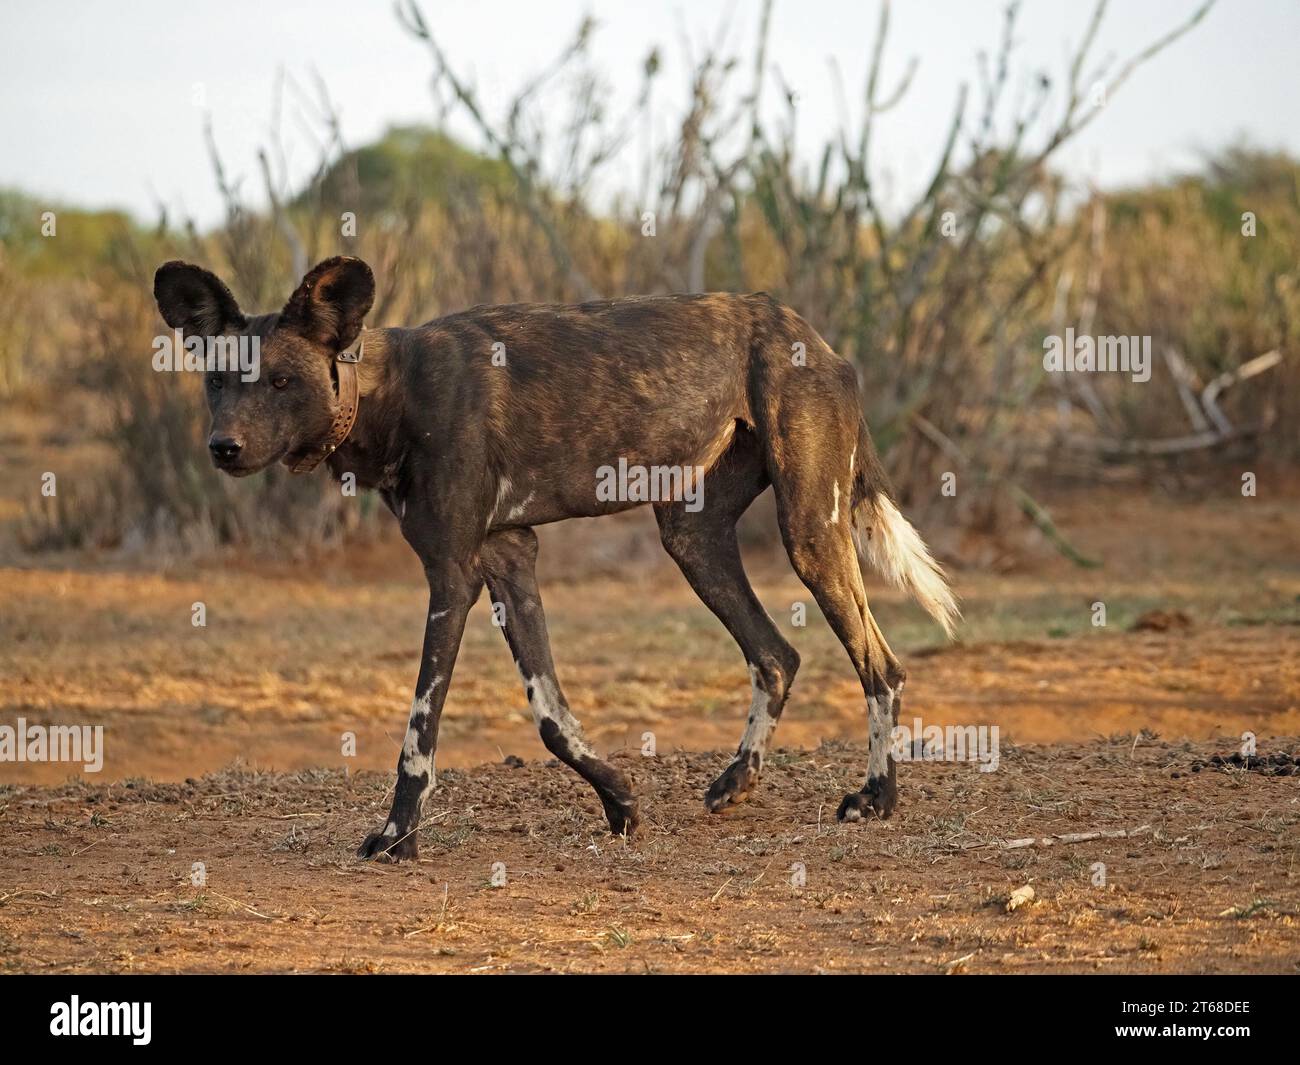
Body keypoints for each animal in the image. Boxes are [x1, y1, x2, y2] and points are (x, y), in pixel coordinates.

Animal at [157, 253, 961, 863]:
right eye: (218, 381)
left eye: (282, 382)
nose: (223, 447)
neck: (389, 393)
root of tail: (808, 333)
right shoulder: (509, 558)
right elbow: (549, 713)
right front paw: (622, 803)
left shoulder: (453, 577)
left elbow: (420, 727)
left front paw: (396, 836)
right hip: (692, 539)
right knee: (777, 654)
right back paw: (737, 781)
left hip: (809, 533)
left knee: (881, 667)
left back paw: (878, 798)